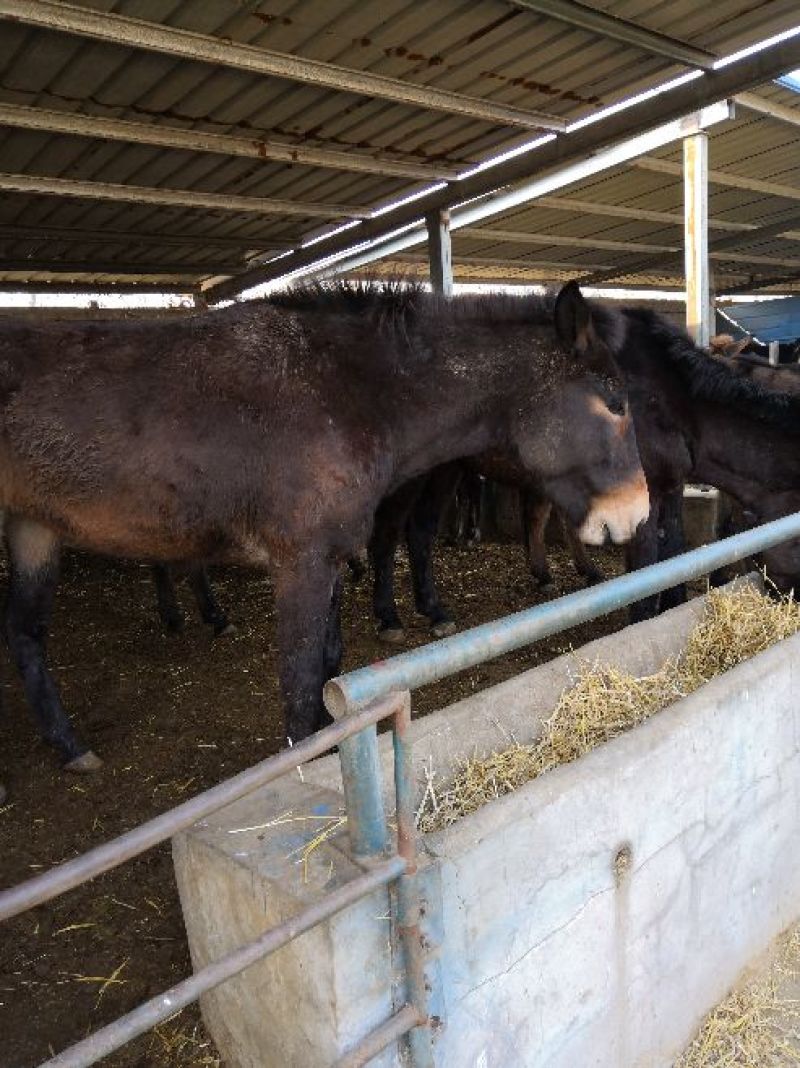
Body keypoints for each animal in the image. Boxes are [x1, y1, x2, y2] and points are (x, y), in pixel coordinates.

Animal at [0, 281, 649, 771]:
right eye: (613, 401)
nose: (637, 513)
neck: (351, 394)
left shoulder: (331, 558)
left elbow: (329, 665)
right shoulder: (301, 563)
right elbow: (299, 676)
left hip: (33, 530)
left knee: (26, 638)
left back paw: (71, 748)